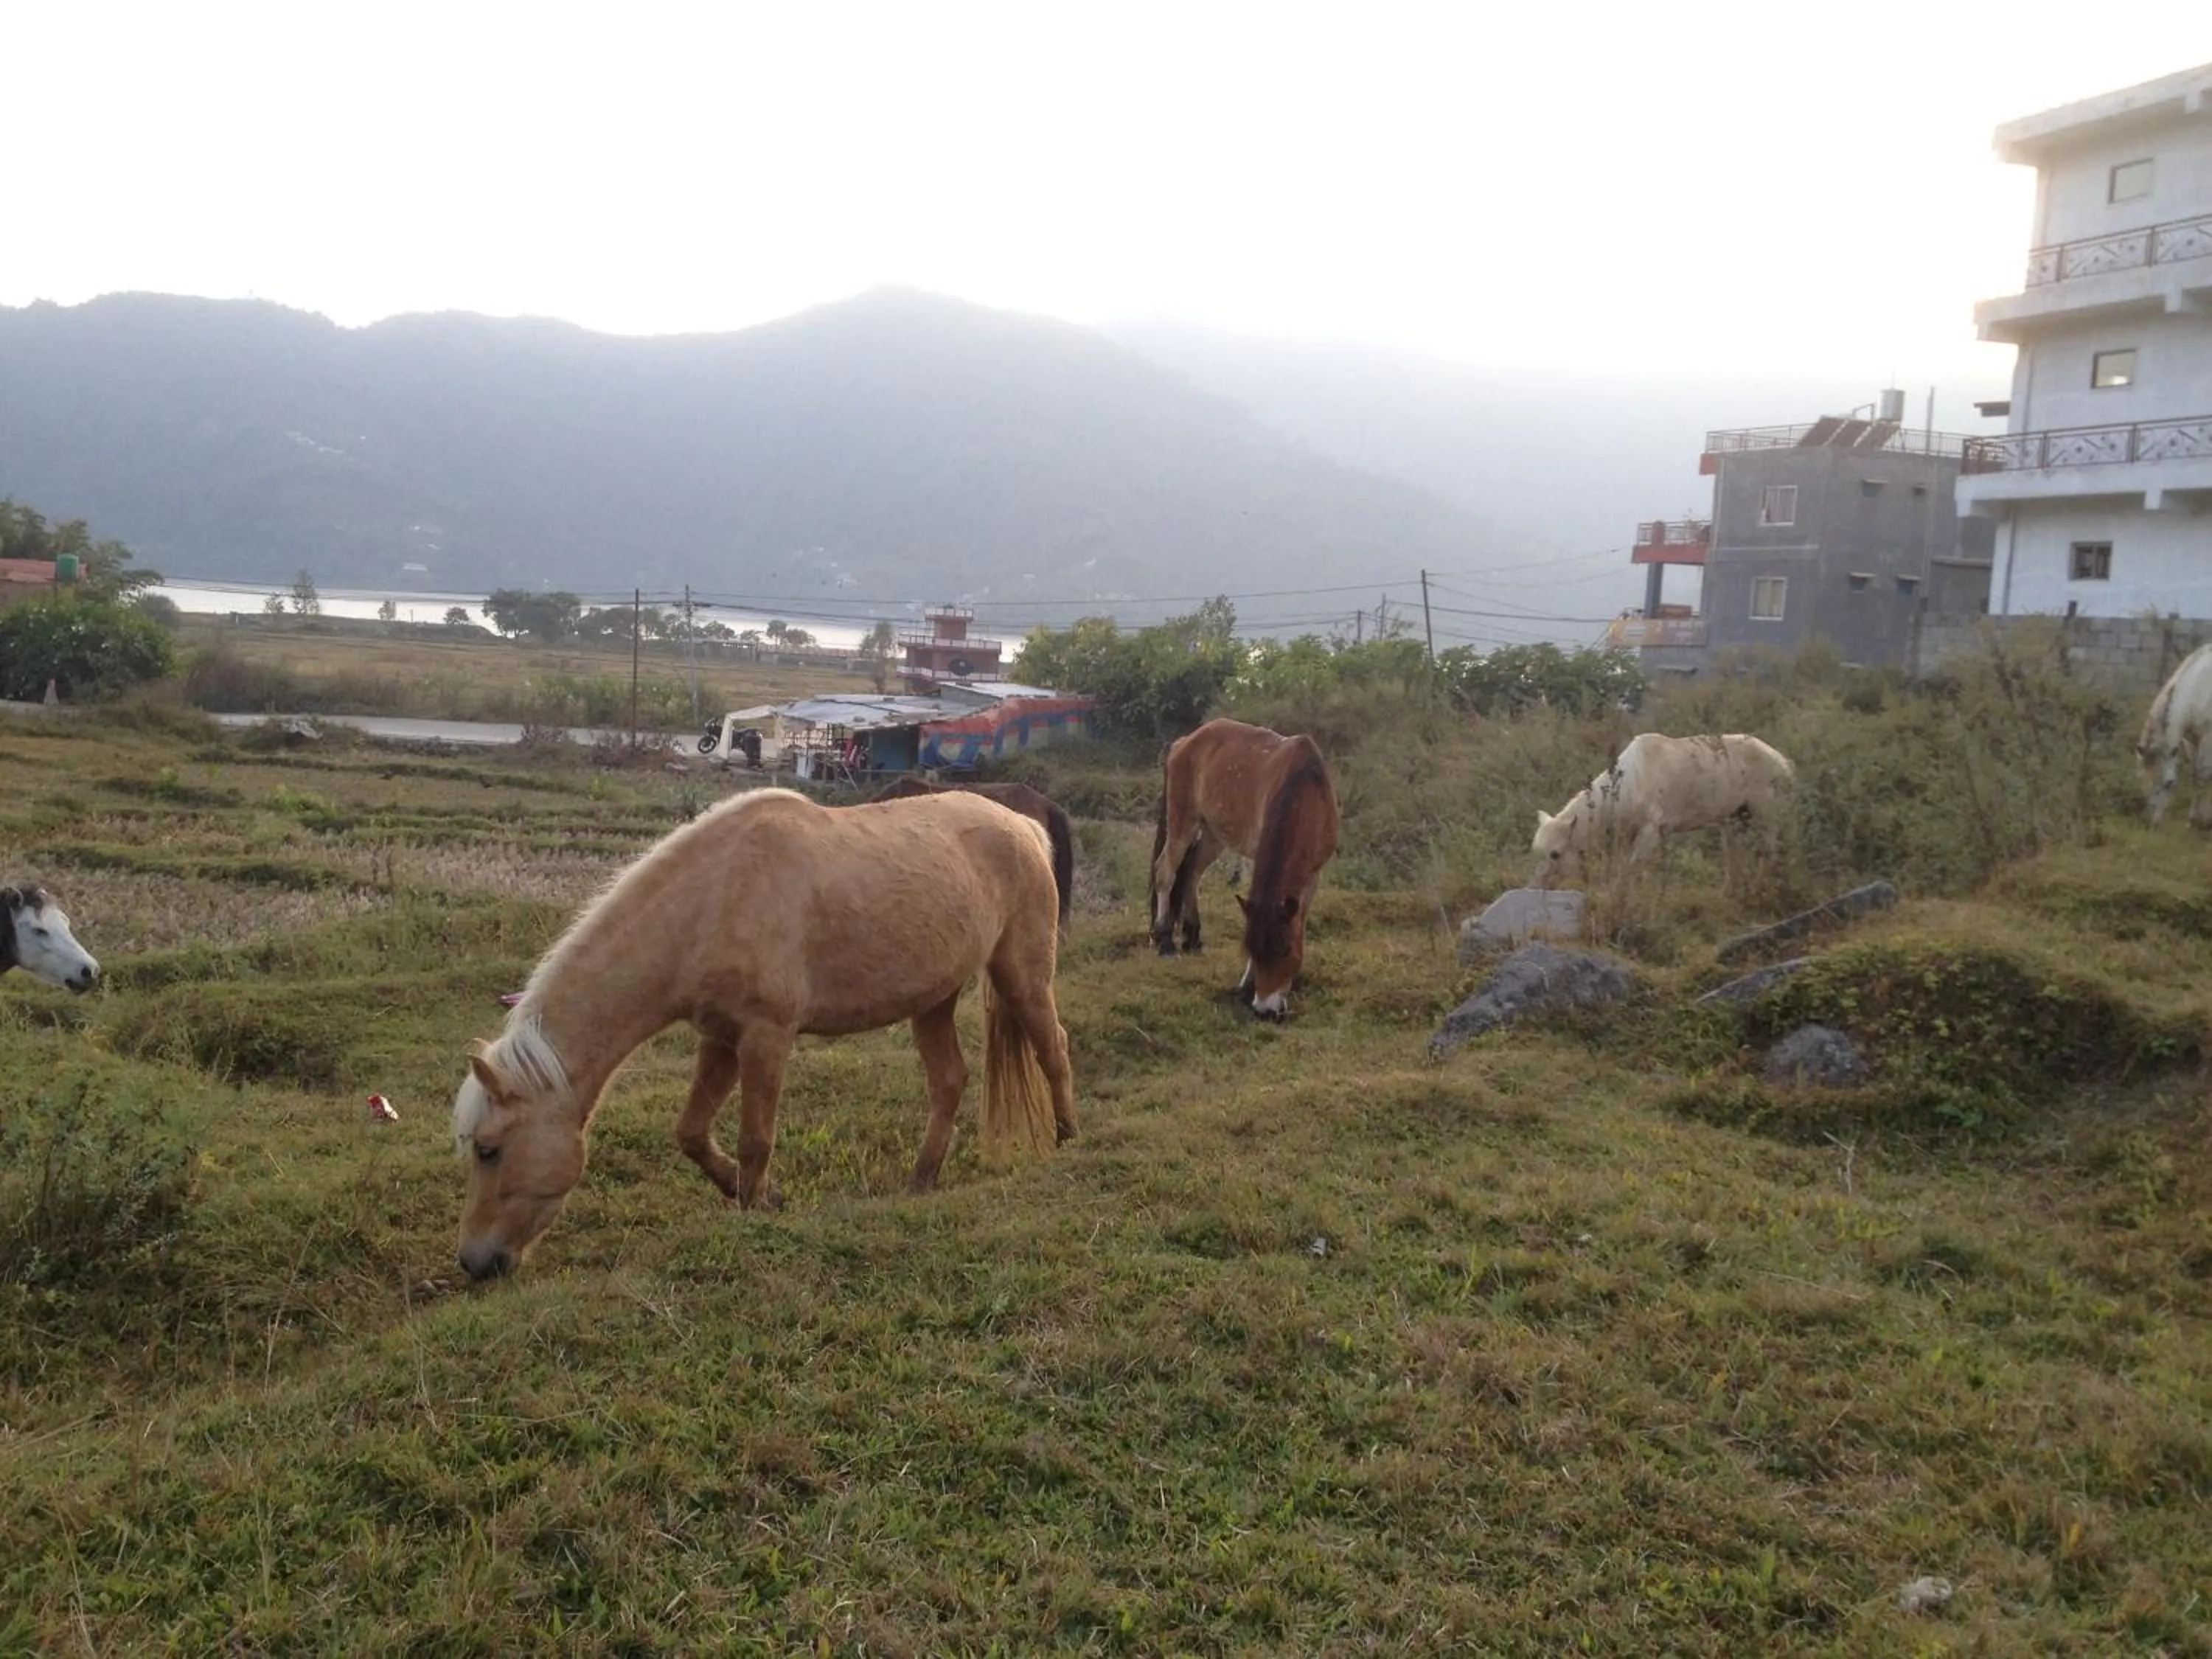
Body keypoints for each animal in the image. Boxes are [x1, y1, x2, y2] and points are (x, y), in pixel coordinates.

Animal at [1149, 717, 1339, 1020]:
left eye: (1285, 952)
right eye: (1251, 949)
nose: (1265, 1009)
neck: (1305, 789)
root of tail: (1184, 742)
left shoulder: (1313, 874)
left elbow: (1301, 920)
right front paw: (1248, 983)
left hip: (1214, 833)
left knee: (1193, 871)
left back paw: (1193, 936)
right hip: (1183, 821)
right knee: (1165, 871)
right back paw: (1165, 940)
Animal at [1533, 732, 1796, 888]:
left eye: (1555, 854)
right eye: (1537, 851)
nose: (1537, 886)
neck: (1625, 788)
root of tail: (1784, 762)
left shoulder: (1652, 827)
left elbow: (1634, 867)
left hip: (1768, 807)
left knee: (1770, 845)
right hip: (1736, 817)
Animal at [2137, 643, 2212, 827]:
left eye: (2168, 783)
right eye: (2141, 779)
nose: (2150, 822)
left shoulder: (2208, 738)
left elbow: (2204, 775)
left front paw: (2203, 820)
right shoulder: (2192, 740)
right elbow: (2195, 774)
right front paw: (2193, 817)